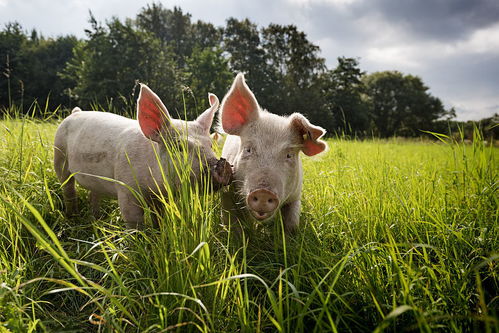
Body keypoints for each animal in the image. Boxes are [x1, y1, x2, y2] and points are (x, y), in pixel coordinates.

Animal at [53, 83, 233, 228]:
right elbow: (133, 221)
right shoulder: (126, 189)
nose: (222, 165)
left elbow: (159, 217)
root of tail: (75, 112)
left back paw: (96, 218)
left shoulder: (159, 197)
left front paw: (158, 231)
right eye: (179, 147)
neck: (154, 187)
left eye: (210, 145)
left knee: (94, 193)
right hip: (59, 156)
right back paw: (72, 217)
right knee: (68, 188)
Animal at [219, 73, 328, 232]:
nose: (263, 193)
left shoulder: (296, 195)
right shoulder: (226, 192)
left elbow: (292, 222)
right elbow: (232, 223)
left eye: (289, 155)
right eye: (248, 149)